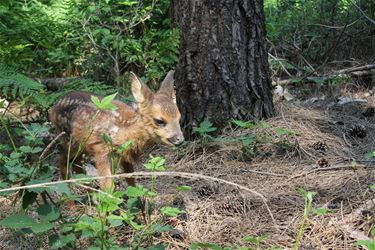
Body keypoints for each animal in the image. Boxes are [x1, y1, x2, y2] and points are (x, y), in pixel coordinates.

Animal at [49, 70, 184, 189]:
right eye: (159, 120)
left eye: (179, 118)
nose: (180, 139)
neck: (122, 130)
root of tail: (53, 108)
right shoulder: (100, 149)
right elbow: (108, 186)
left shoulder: (125, 154)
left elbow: (131, 181)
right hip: (69, 140)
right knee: (62, 160)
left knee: (75, 164)